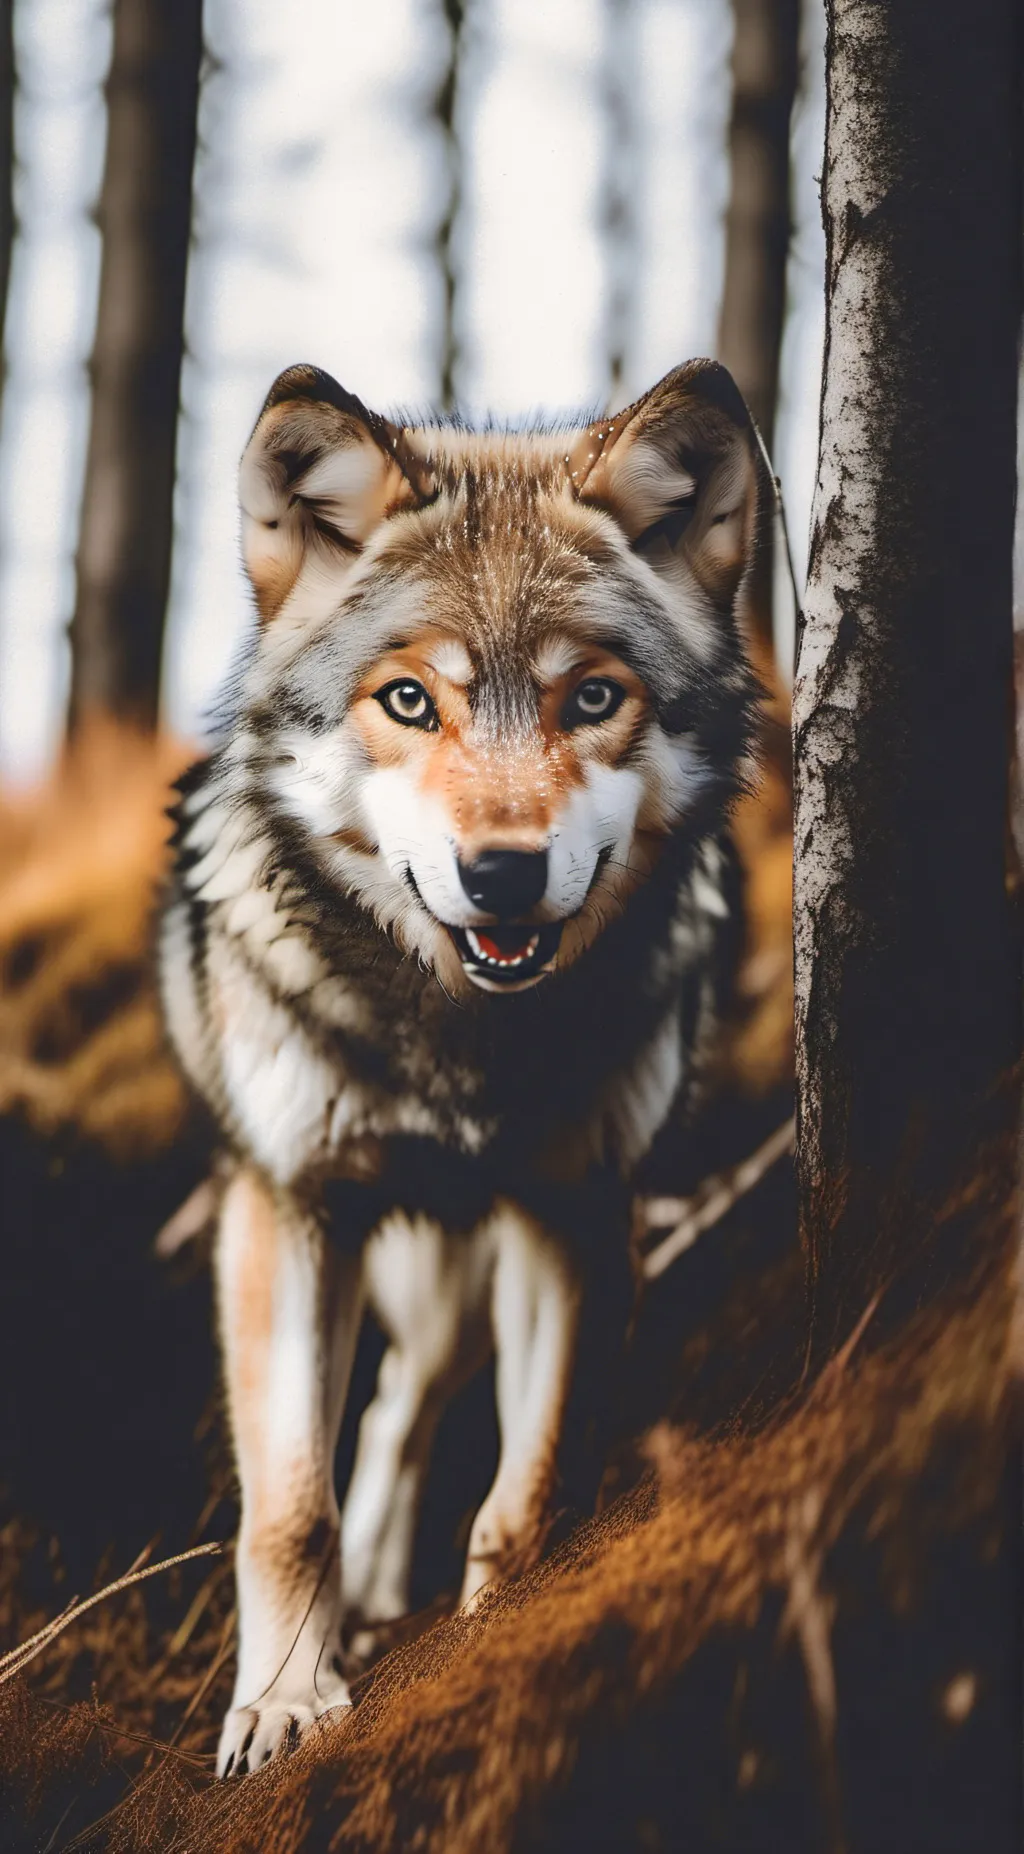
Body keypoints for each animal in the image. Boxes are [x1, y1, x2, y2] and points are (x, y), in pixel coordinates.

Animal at [159, 357, 761, 1776]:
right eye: (407, 700)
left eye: (591, 697)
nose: (502, 874)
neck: (463, 1044)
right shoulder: (287, 1206)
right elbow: (289, 1507)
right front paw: (283, 1706)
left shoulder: (569, 1211)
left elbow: (522, 1497)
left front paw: (485, 1651)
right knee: (374, 1424)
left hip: (456, 1279)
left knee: (404, 1408)